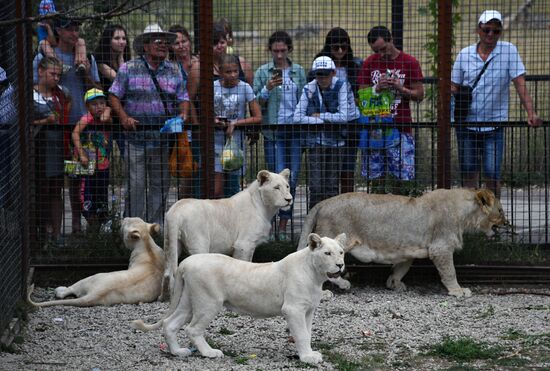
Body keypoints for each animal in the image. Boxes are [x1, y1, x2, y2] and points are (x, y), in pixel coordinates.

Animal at [27, 218, 165, 308]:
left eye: (127, 222)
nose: (123, 218)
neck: (147, 244)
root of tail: (95, 294)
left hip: (91, 277)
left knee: (67, 291)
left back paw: (59, 290)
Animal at [132, 234, 352, 364]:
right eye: (327, 253)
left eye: (341, 252)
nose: (340, 265)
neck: (316, 275)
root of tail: (186, 262)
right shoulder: (293, 309)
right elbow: (302, 334)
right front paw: (307, 358)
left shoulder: (308, 310)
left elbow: (307, 332)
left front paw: (309, 354)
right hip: (208, 302)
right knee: (192, 329)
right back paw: (210, 353)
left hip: (189, 301)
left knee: (170, 323)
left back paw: (178, 352)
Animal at [161, 170, 294, 300]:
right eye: (276, 187)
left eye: (287, 186)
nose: (289, 199)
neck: (265, 208)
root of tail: (176, 210)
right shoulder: (244, 244)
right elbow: (245, 263)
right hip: (198, 244)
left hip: (171, 245)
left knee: (167, 272)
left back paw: (163, 297)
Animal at [300, 187, 512, 298]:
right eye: (501, 210)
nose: (507, 222)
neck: (463, 214)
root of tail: (323, 203)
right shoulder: (440, 247)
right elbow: (449, 271)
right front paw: (457, 290)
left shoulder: (407, 250)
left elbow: (400, 269)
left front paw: (394, 284)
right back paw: (337, 287)